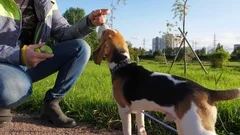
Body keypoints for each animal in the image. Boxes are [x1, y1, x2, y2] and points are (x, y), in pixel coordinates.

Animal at [93, 23, 240, 134]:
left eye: (105, 31)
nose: (101, 23)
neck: (122, 64)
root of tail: (207, 92)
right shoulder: (140, 110)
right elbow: (141, 129)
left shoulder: (123, 110)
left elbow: (127, 131)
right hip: (183, 126)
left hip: (197, 128)